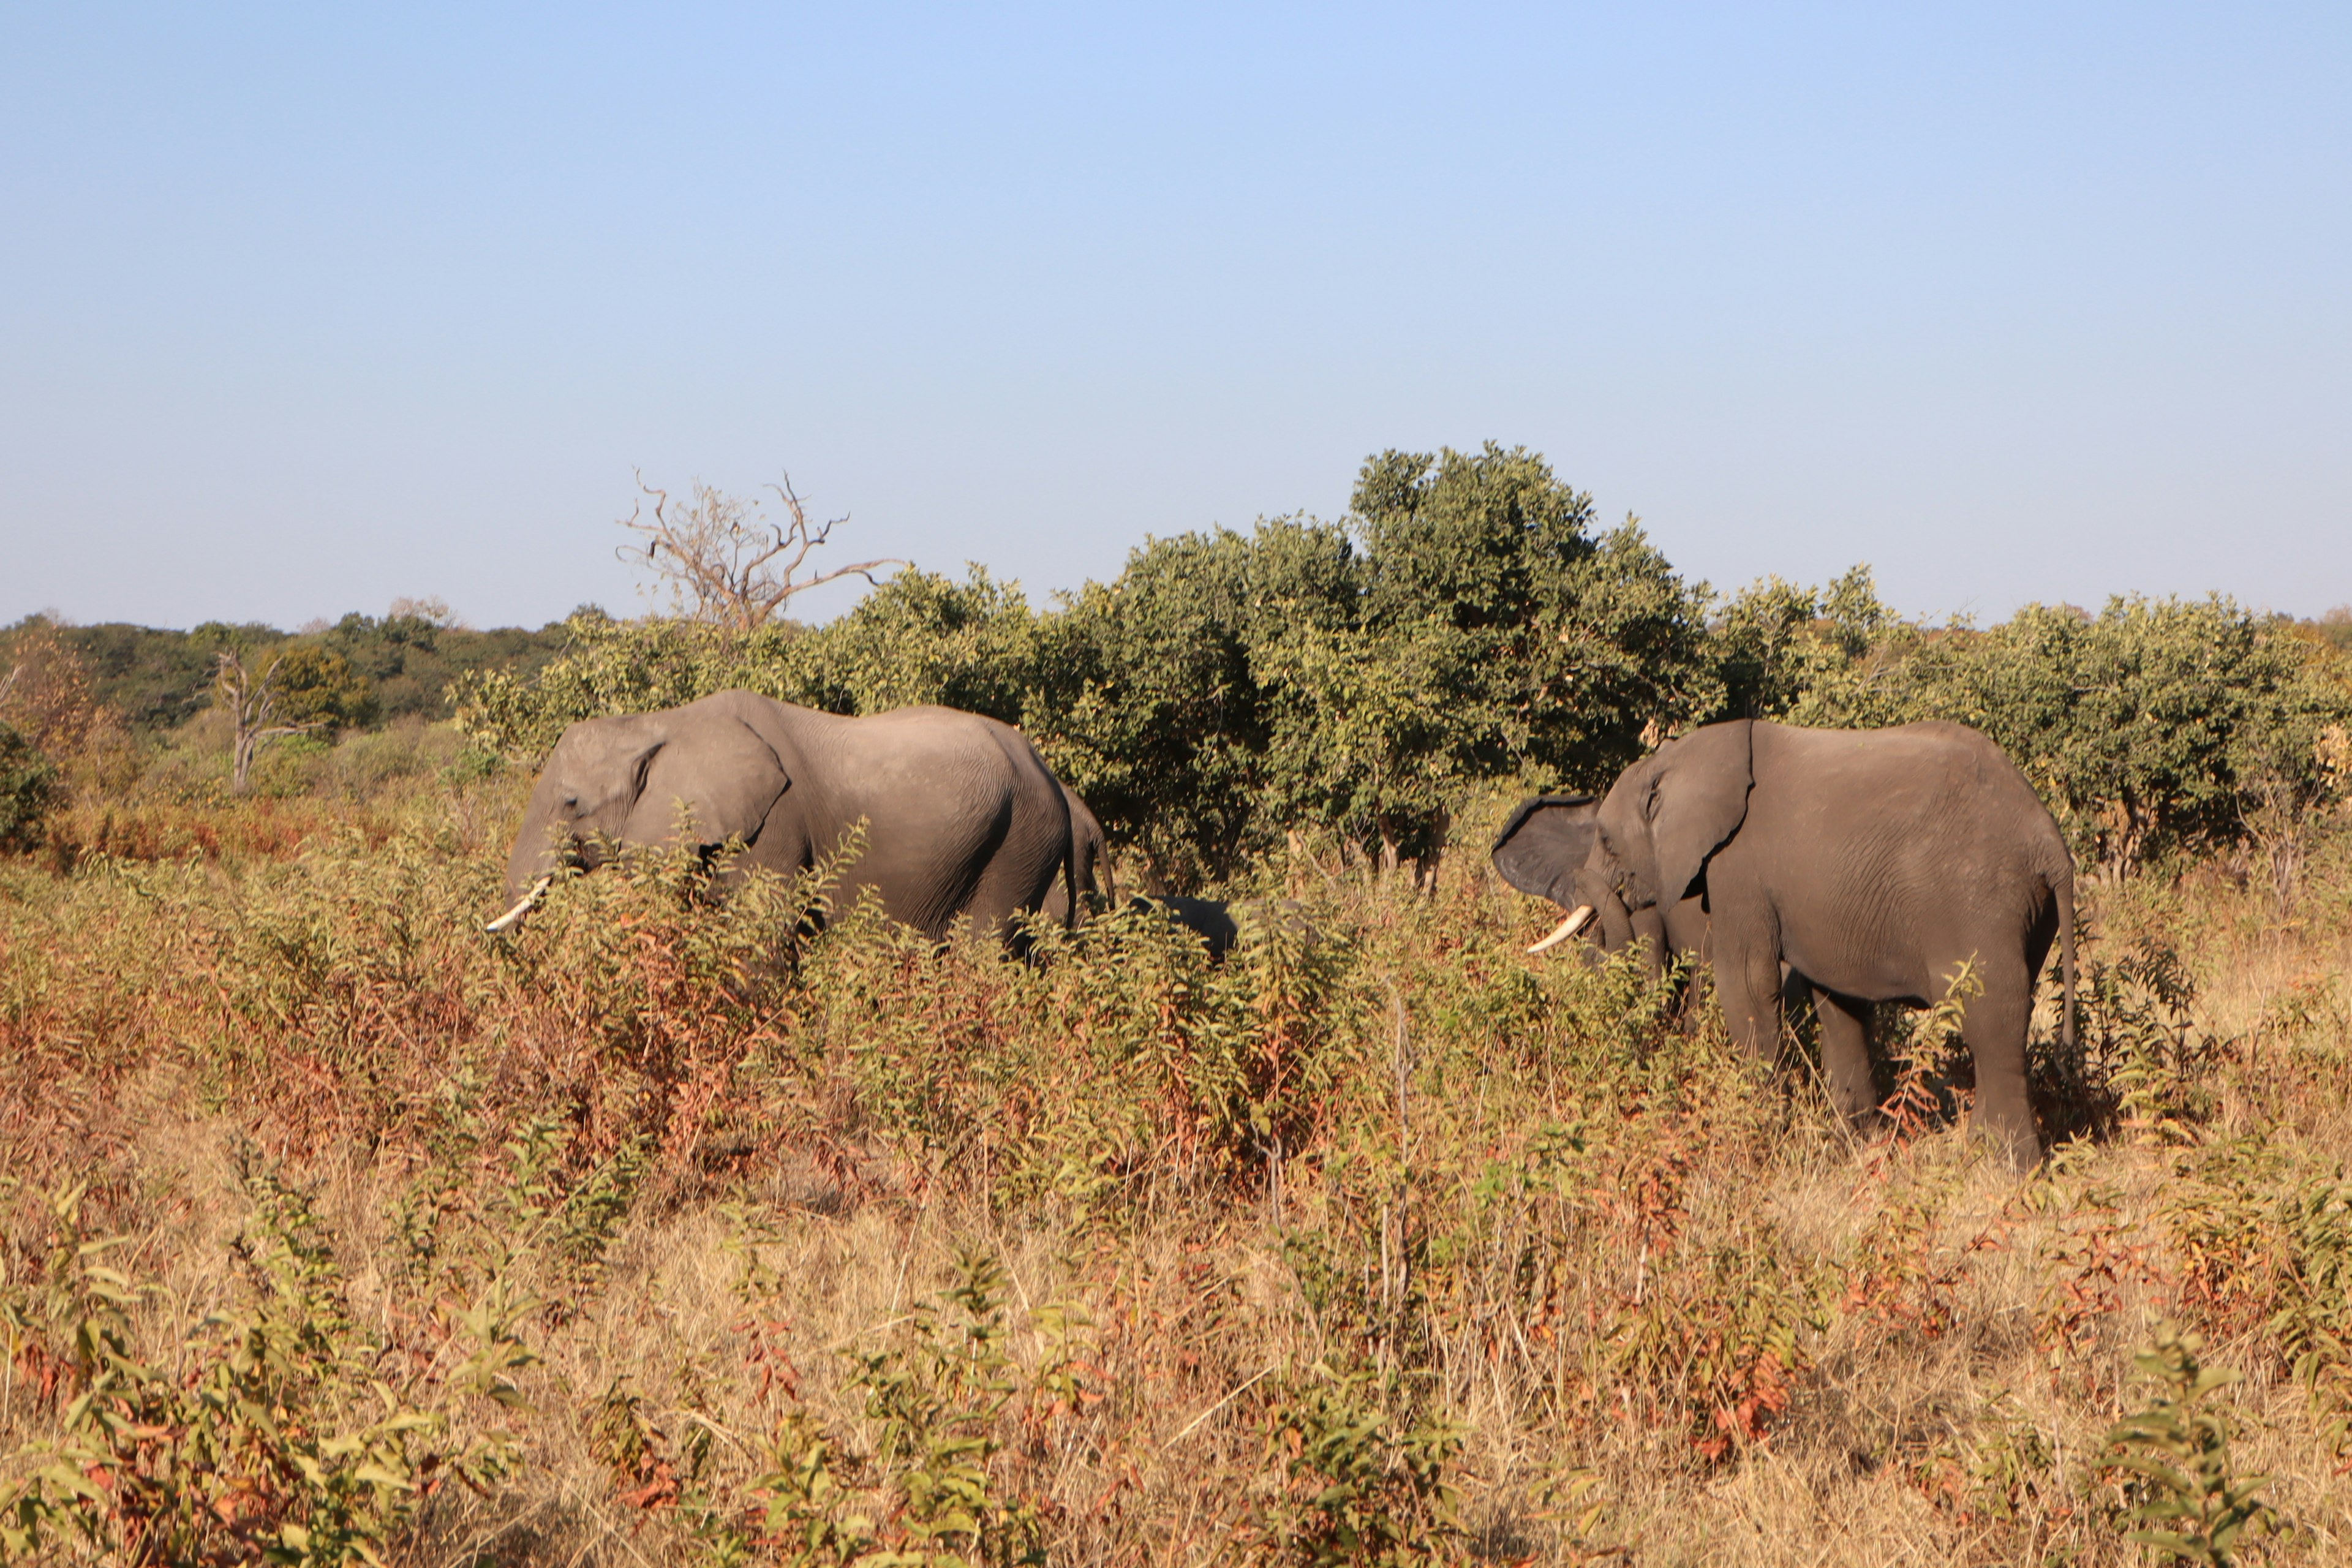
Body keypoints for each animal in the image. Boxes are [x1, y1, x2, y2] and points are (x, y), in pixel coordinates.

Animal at [1486, 724, 2079, 1166]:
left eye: (1607, 842)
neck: (1683, 759)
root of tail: (2049, 841)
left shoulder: (1734, 867)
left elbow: (1748, 987)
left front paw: (1759, 1137)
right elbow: (1837, 1005)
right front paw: (1850, 1149)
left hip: (1981, 900)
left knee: (1992, 1018)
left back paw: (2004, 1167)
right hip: (2026, 912)